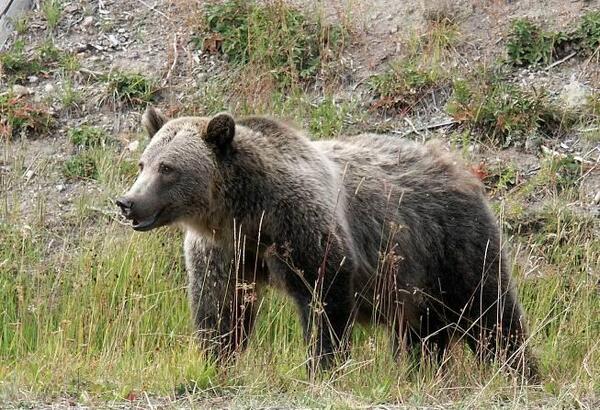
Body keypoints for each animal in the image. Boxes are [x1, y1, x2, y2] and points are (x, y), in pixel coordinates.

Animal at [116, 106, 540, 382]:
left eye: (168, 168)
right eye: (143, 163)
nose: (128, 202)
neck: (245, 212)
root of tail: (457, 166)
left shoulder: (301, 226)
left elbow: (324, 299)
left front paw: (321, 368)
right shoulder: (227, 251)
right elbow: (220, 308)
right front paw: (216, 361)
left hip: (449, 242)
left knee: (490, 312)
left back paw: (522, 373)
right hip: (409, 276)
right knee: (422, 331)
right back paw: (421, 373)